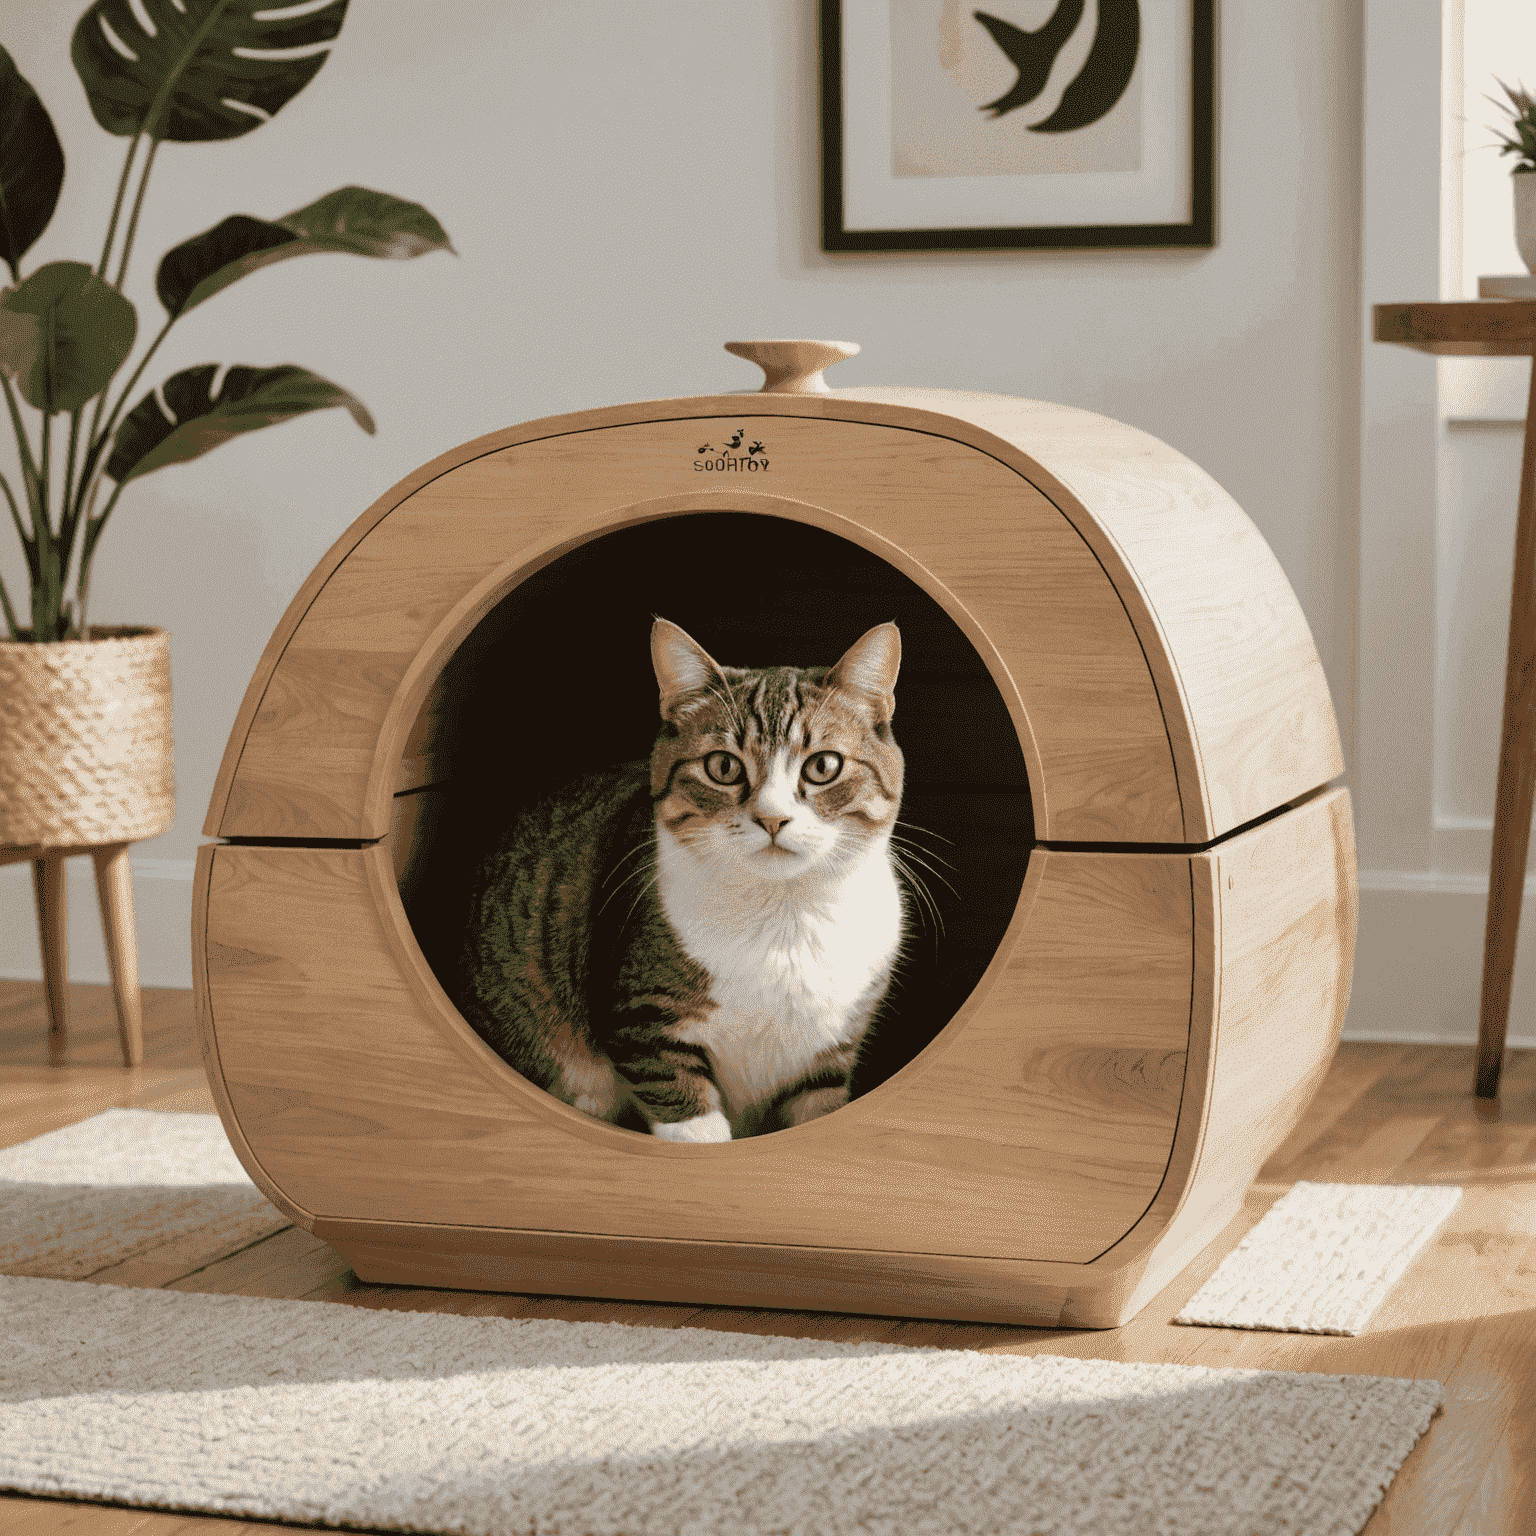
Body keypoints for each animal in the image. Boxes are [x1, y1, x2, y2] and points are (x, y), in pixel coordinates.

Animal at [454, 617, 909, 1136]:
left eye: (824, 766)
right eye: (723, 766)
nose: (772, 819)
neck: (785, 912)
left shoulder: (827, 1062)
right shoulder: (645, 1022)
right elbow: (688, 1115)